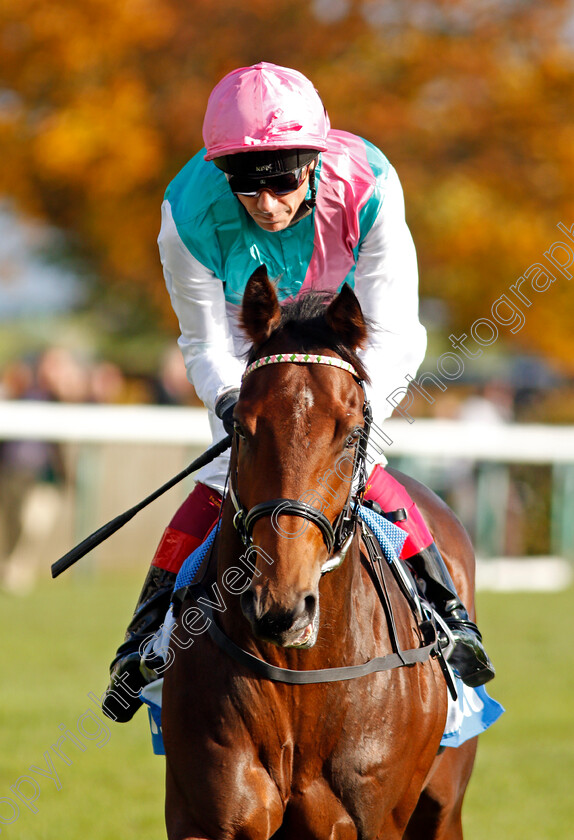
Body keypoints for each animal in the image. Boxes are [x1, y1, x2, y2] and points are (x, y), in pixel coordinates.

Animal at [162, 266, 476, 836]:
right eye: (240, 426)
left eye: (351, 436)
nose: (281, 605)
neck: (300, 678)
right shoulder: (207, 814)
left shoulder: (371, 820)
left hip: (444, 804)